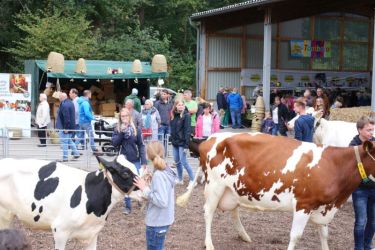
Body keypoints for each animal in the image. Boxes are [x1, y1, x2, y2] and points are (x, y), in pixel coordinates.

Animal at [178, 132, 375, 249]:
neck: (333, 164)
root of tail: (211, 137)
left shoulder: (324, 207)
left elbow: (324, 235)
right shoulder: (304, 204)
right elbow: (295, 236)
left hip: (233, 188)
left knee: (234, 211)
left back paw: (244, 235)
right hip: (215, 186)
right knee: (208, 212)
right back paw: (209, 243)